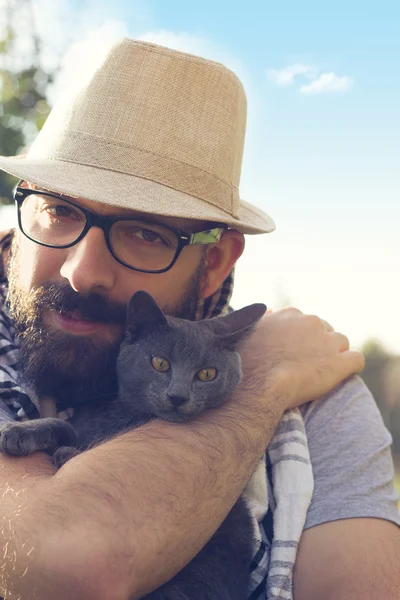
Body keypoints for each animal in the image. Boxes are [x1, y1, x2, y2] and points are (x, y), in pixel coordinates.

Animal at [2, 292, 268, 600]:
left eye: (207, 374)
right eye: (160, 363)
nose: (178, 396)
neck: (130, 420)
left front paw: (63, 452)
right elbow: (63, 426)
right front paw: (18, 431)